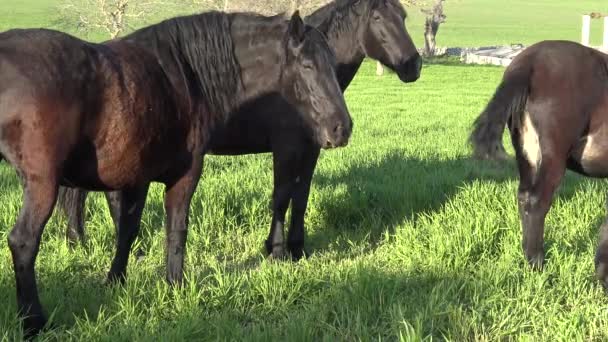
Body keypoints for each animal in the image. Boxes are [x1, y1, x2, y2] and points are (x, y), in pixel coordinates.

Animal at [0, 11, 352, 336]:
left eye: (332, 65)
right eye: (307, 66)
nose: (342, 128)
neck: (186, 75)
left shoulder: (136, 178)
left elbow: (127, 231)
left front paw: (116, 282)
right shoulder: (186, 174)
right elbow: (177, 229)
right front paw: (175, 285)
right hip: (43, 186)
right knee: (24, 241)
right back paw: (33, 321)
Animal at [57, 0, 420, 260]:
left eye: (403, 15)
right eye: (379, 18)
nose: (413, 65)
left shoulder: (312, 148)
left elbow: (300, 196)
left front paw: (298, 247)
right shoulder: (286, 147)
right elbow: (281, 196)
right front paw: (276, 250)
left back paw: (80, 242)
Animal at [470, 40, 608, 288]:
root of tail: (528, 62)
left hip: (526, 153)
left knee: (524, 196)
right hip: (552, 155)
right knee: (536, 201)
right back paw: (538, 267)